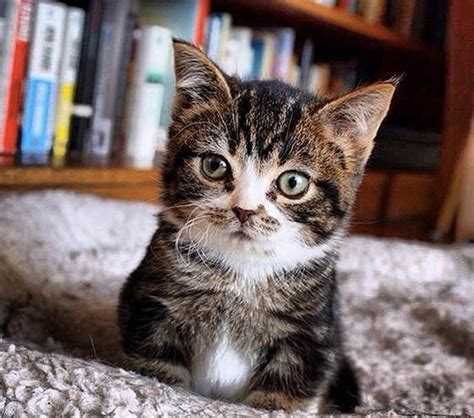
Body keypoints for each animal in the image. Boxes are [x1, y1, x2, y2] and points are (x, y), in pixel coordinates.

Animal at [118, 40, 396, 414]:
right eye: (214, 165)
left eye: (293, 183)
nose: (244, 210)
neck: (241, 272)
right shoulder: (151, 305)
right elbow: (156, 371)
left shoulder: (312, 337)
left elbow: (285, 396)